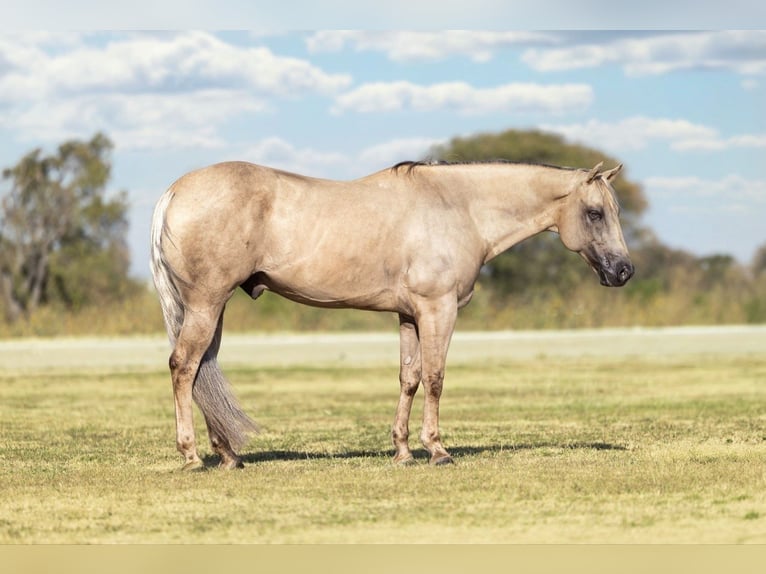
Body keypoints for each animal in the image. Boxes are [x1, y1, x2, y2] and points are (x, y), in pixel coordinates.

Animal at [150, 159, 634, 470]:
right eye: (595, 213)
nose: (624, 271)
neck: (457, 207)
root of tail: (174, 191)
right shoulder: (438, 309)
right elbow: (436, 378)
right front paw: (437, 450)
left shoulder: (409, 315)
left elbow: (409, 378)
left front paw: (402, 452)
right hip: (206, 303)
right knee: (184, 366)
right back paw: (191, 456)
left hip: (213, 308)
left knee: (202, 370)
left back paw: (228, 455)